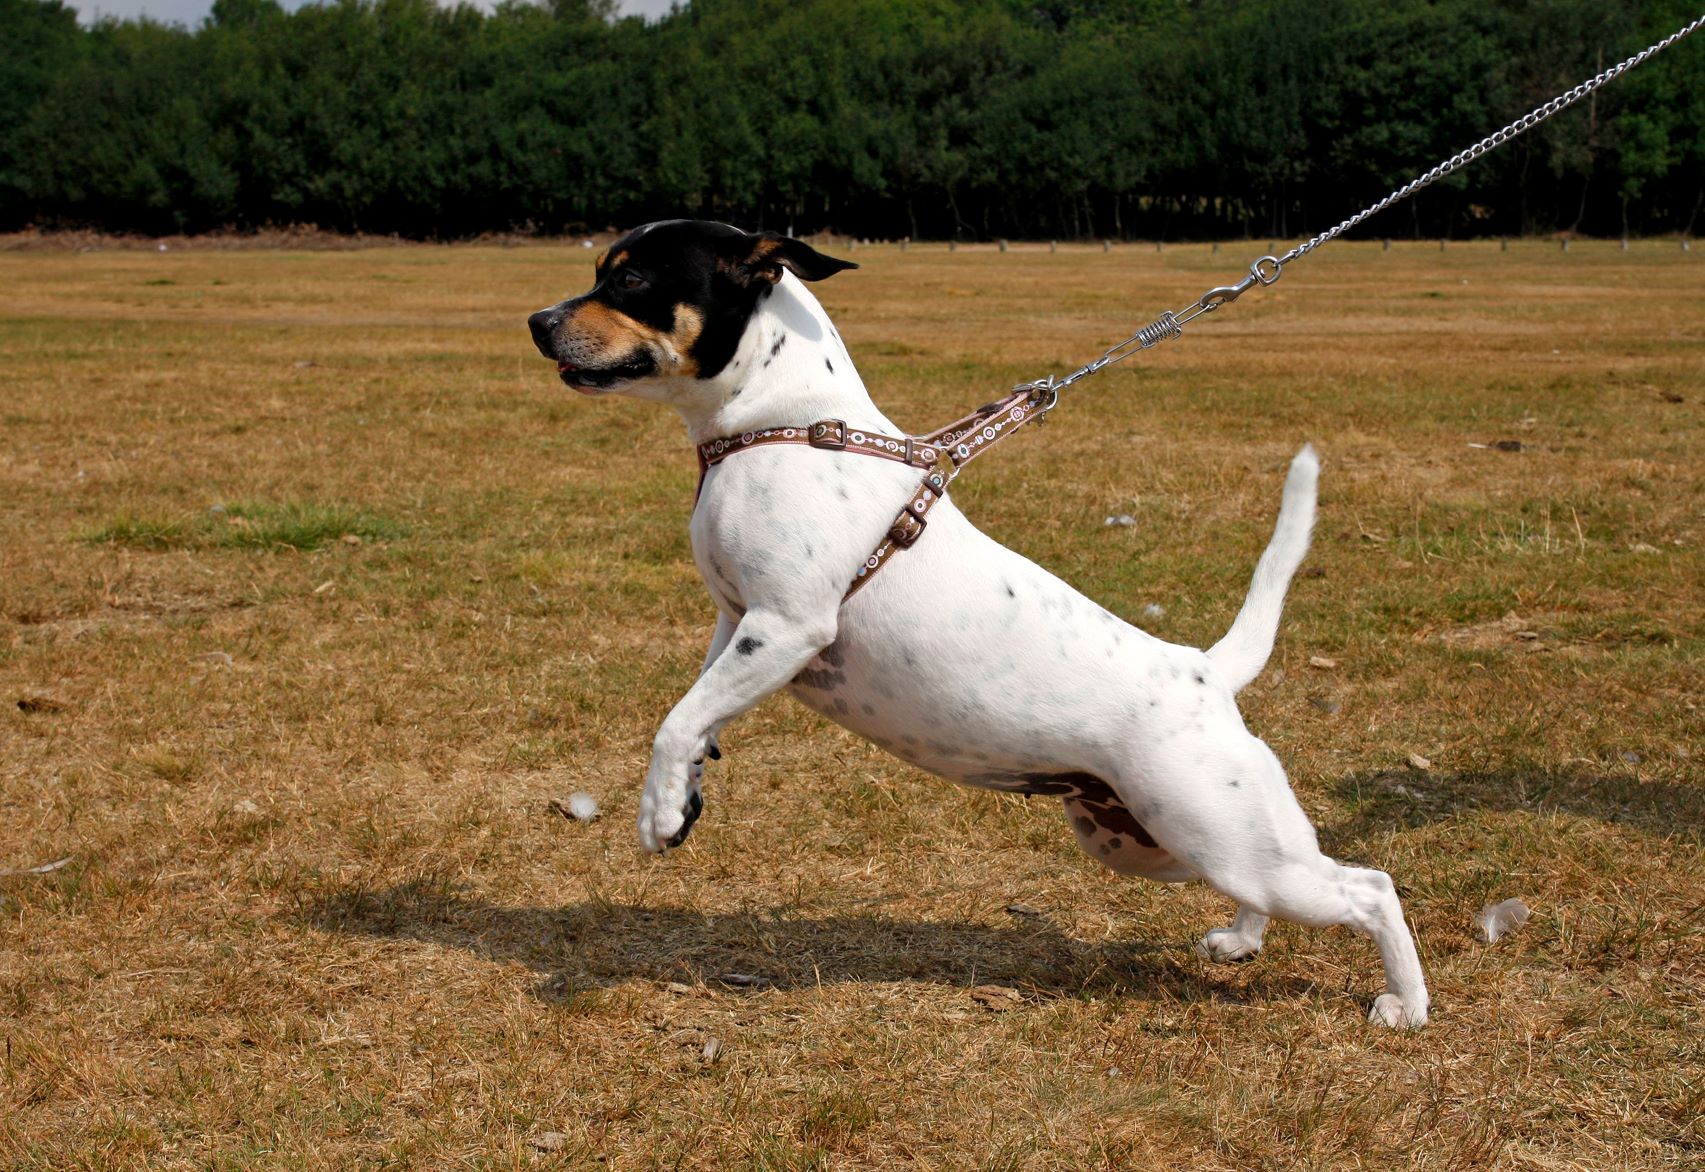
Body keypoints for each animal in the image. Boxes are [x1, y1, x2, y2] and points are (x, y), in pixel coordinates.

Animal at [525, 220, 1432, 1023]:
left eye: (631, 279)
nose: (536, 321)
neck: (783, 423)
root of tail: (1205, 669)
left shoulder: (787, 626)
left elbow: (675, 721)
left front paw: (655, 814)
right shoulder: (735, 622)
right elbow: (698, 709)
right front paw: (685, 795)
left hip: (1213, 831)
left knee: (1370, 888)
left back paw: (1405, 1005)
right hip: (1160, 843)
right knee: (1288, 878)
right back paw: (1241, 941)